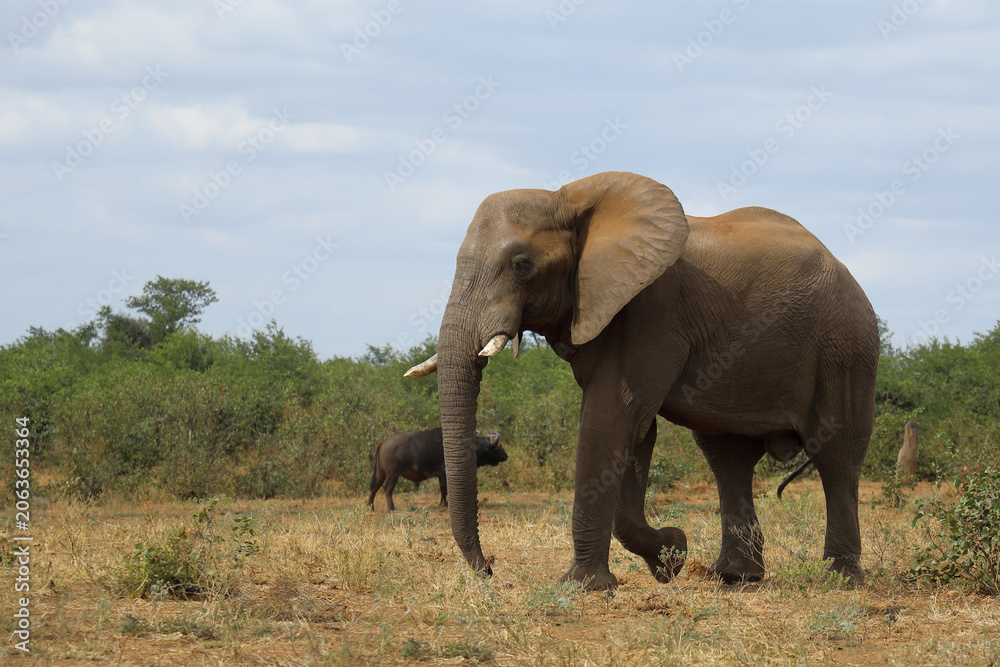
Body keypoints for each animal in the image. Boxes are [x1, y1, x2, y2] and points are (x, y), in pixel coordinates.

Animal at [405, 171, 878, 591]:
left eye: (521, 265)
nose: (489, 570)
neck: (569, 200)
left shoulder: (651, 310)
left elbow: (612, 417)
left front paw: (585, 587)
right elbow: (636, 432)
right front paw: (672, 556)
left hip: (846, 348)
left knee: (835, 454)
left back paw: (840, 580)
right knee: (728, 459)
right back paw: (736, 577)